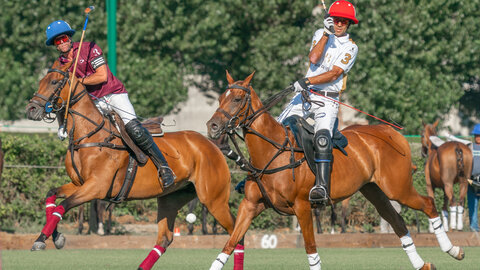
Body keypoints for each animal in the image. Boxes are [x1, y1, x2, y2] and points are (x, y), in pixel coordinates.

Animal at [24, 61, 242, 270]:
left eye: (54, 82)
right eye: (41, 81)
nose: (31, 109)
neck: (90, 136)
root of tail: (212, 145)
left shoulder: (96, 187)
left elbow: (63, 206)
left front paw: (44, 239)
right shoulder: (80, 184)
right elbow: (52, 196)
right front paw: (53, 237)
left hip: (214, 199)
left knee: (236, 232)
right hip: (171, 198)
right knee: (165, 238)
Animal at [207, 71, 464, 270]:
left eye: (237, 98)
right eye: (220, 98)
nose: (212, 126)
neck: (272, 151)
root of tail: (393, 133)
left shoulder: (302, 207)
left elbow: (311, 249)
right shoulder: (250, 205)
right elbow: (229, 243)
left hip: (397, 187)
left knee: (428, 203)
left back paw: (453, 250)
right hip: (373, 190)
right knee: (397, 220)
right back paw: (422, 264)